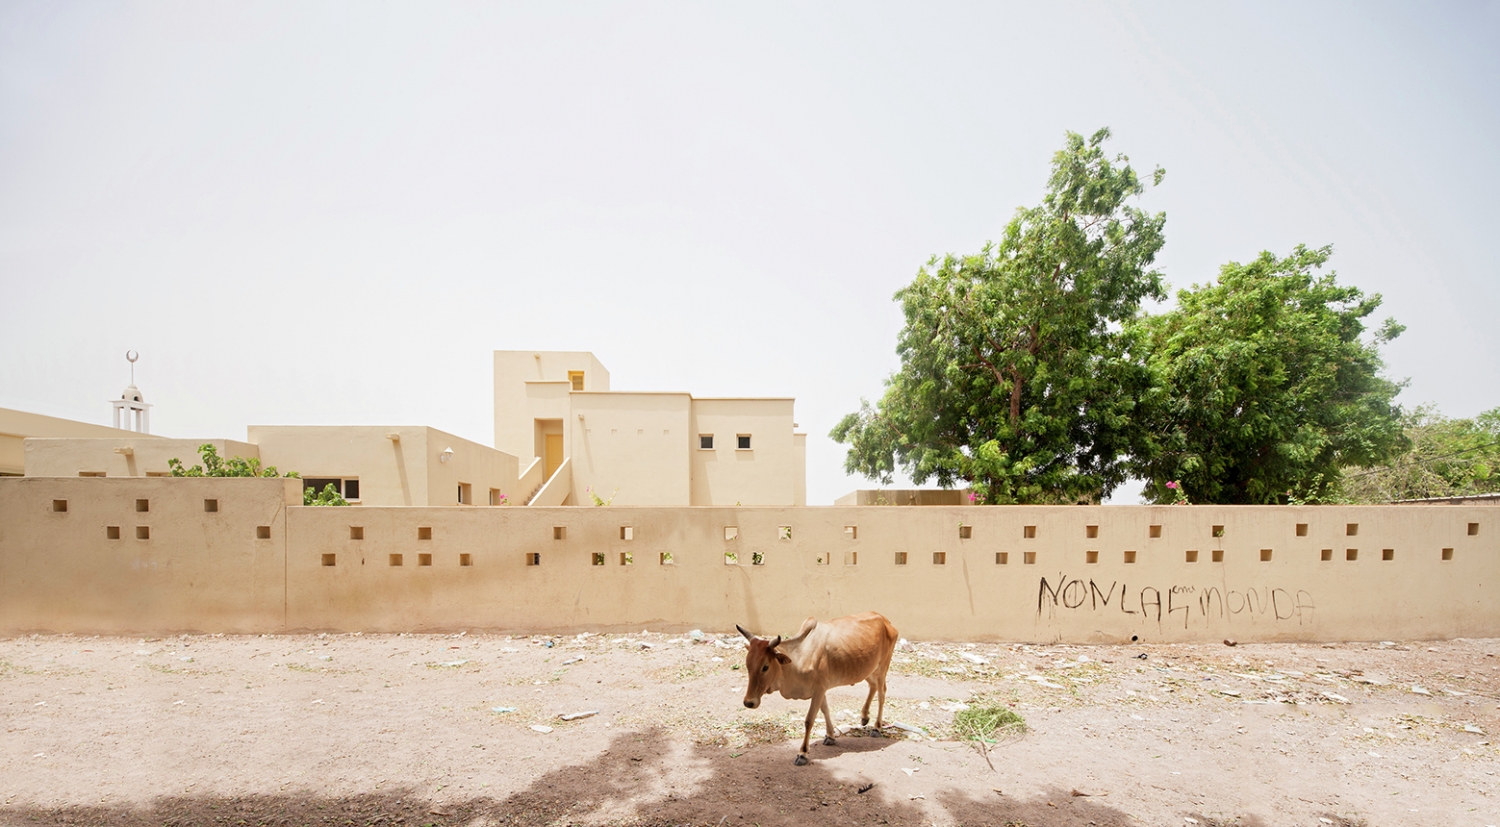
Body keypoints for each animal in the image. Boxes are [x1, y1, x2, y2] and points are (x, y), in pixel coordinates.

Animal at [735, 612, 894, 768]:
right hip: (868, 669)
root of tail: (885, 620)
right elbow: (825, 710)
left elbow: (809, 720)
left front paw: (803, 754)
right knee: (873, 686)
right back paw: (864, 717)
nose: (749, 702)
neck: (797, 660)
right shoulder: (821, 690)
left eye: (765, 667)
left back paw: (877, 727)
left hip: (882, 667)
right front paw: (830, 736)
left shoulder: (819, 689)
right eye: (748, 665)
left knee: (882, 694)